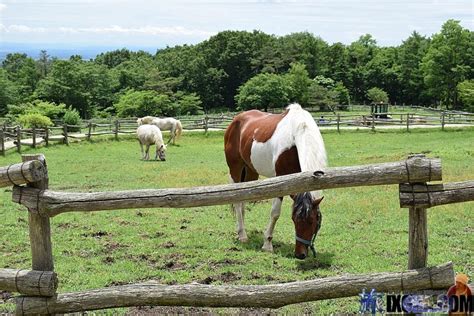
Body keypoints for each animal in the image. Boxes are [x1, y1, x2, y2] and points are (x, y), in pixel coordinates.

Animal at [223, 103, 326, 260]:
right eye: (294, 219)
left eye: (313, 221)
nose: (300, 254)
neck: (297, 135)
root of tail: (236, 120)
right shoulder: (281, 181)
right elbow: (275, 213)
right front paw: (267, 244)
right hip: (236, 169)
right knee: (237, 202)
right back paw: (242, 235)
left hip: (250, 172)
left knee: (243, 201)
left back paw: (241, 230)